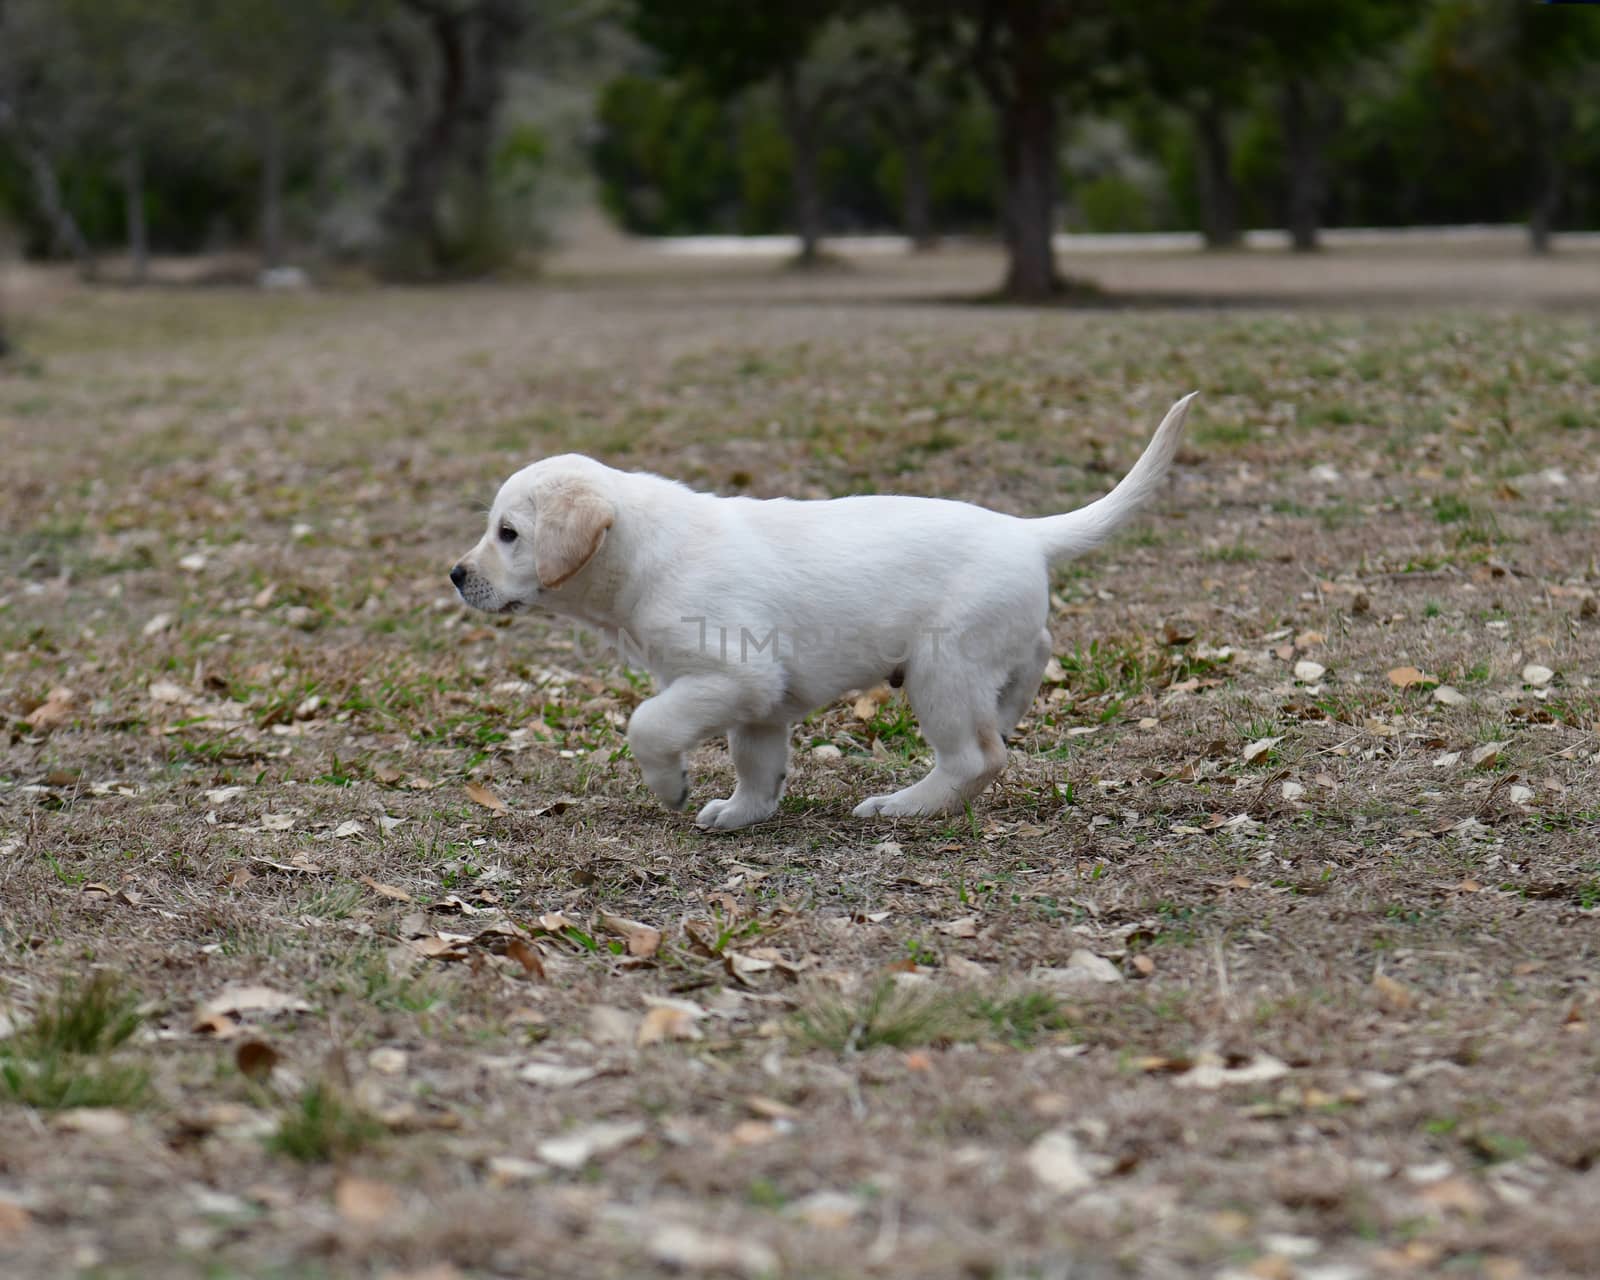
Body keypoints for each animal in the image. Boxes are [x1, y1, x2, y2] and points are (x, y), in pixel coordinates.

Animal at [448, 390, 1190, 832]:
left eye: (508, 533)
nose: (457, 575)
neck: (644, 552)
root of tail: (1026, 531)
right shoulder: (758, 701)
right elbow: (756, 763)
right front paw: (742, 812)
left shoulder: (733, 675)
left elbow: (647, 724)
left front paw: (671, 787)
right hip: (986, 652)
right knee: (1032, 660)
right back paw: (1006, 713)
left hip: (941, 670)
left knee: (976, 759)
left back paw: (902, 805)